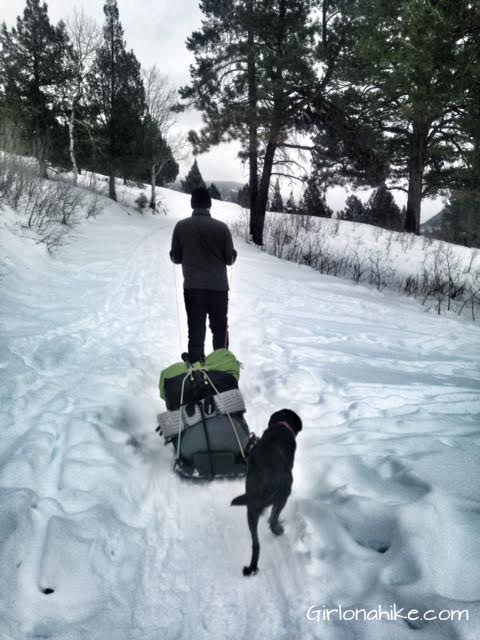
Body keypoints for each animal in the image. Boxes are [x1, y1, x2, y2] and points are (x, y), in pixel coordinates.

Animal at [231, 410, 302, 580]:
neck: (281, 425)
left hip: (250, 510)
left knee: (255, 543)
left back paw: (252, 567)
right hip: (282, 496)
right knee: (273, 518)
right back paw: (277, 530)